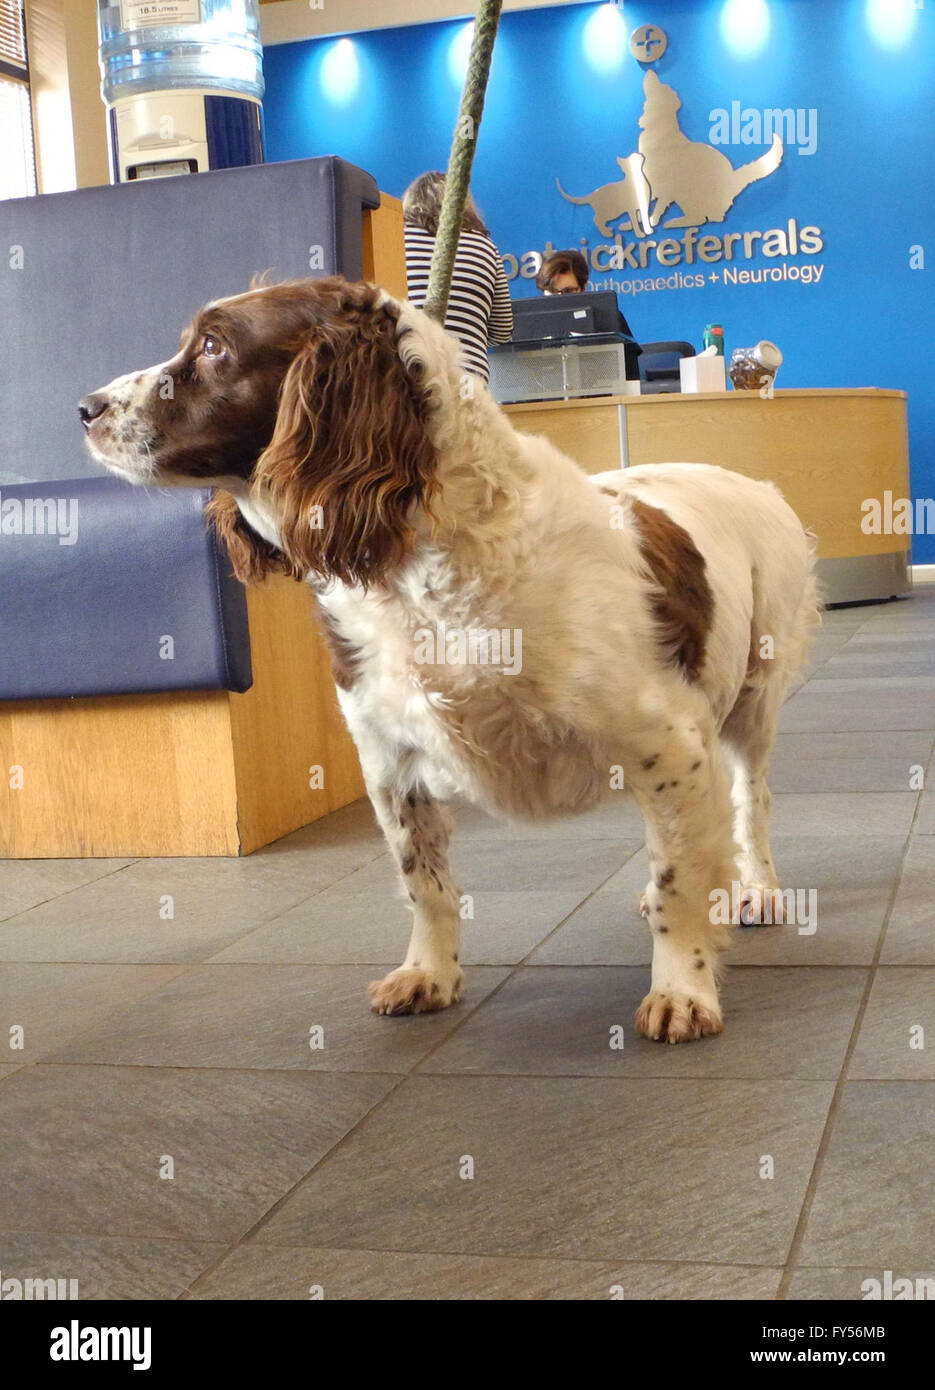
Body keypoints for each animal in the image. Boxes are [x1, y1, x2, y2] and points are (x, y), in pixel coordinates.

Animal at [81, 276, 822, 1045]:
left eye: (213, 346)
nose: (87, 408)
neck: (424, 569)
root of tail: (753, 483)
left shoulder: (667, 742)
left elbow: (681, 883)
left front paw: (682, 990)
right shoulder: (387, 757)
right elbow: (423, 882)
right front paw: (428, 975)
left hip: (751, 702)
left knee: (749, 802)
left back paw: (757, 891)